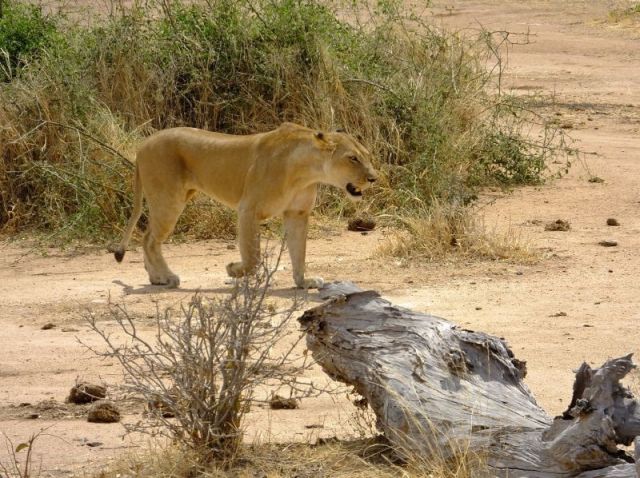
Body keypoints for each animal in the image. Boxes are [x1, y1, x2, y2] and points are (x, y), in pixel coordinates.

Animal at [113, 122, 378, 289]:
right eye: (352, 158)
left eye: (366, 155)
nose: (373, 178)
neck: (308, 171)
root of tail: (144, 144)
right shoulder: (248, 209)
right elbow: (253, 258)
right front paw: (233, 269)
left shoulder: (297, 213)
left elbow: (299, 252)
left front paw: (304, 282)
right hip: (169, 199)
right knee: (150, 240)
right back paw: (168, 278)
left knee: (146, 237)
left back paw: (156, 277)